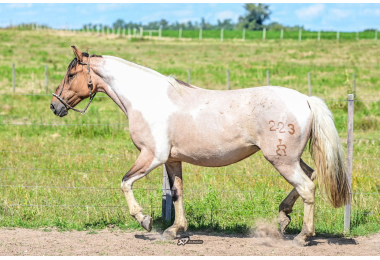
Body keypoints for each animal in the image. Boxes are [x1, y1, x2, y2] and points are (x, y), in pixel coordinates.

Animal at [50, 45, 350, 247]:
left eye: (71, 74)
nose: (55, 105)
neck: (146, 99)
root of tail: (305, 99)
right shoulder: (172, 160)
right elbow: (177, 193)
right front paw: (175, 230)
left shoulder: (152, 156)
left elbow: (125, 182)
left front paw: (145, 220)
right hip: (289, 158)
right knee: (310, 176)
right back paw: (284, 217)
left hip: (282, 160)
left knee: (307, 187)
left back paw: (303, 236)